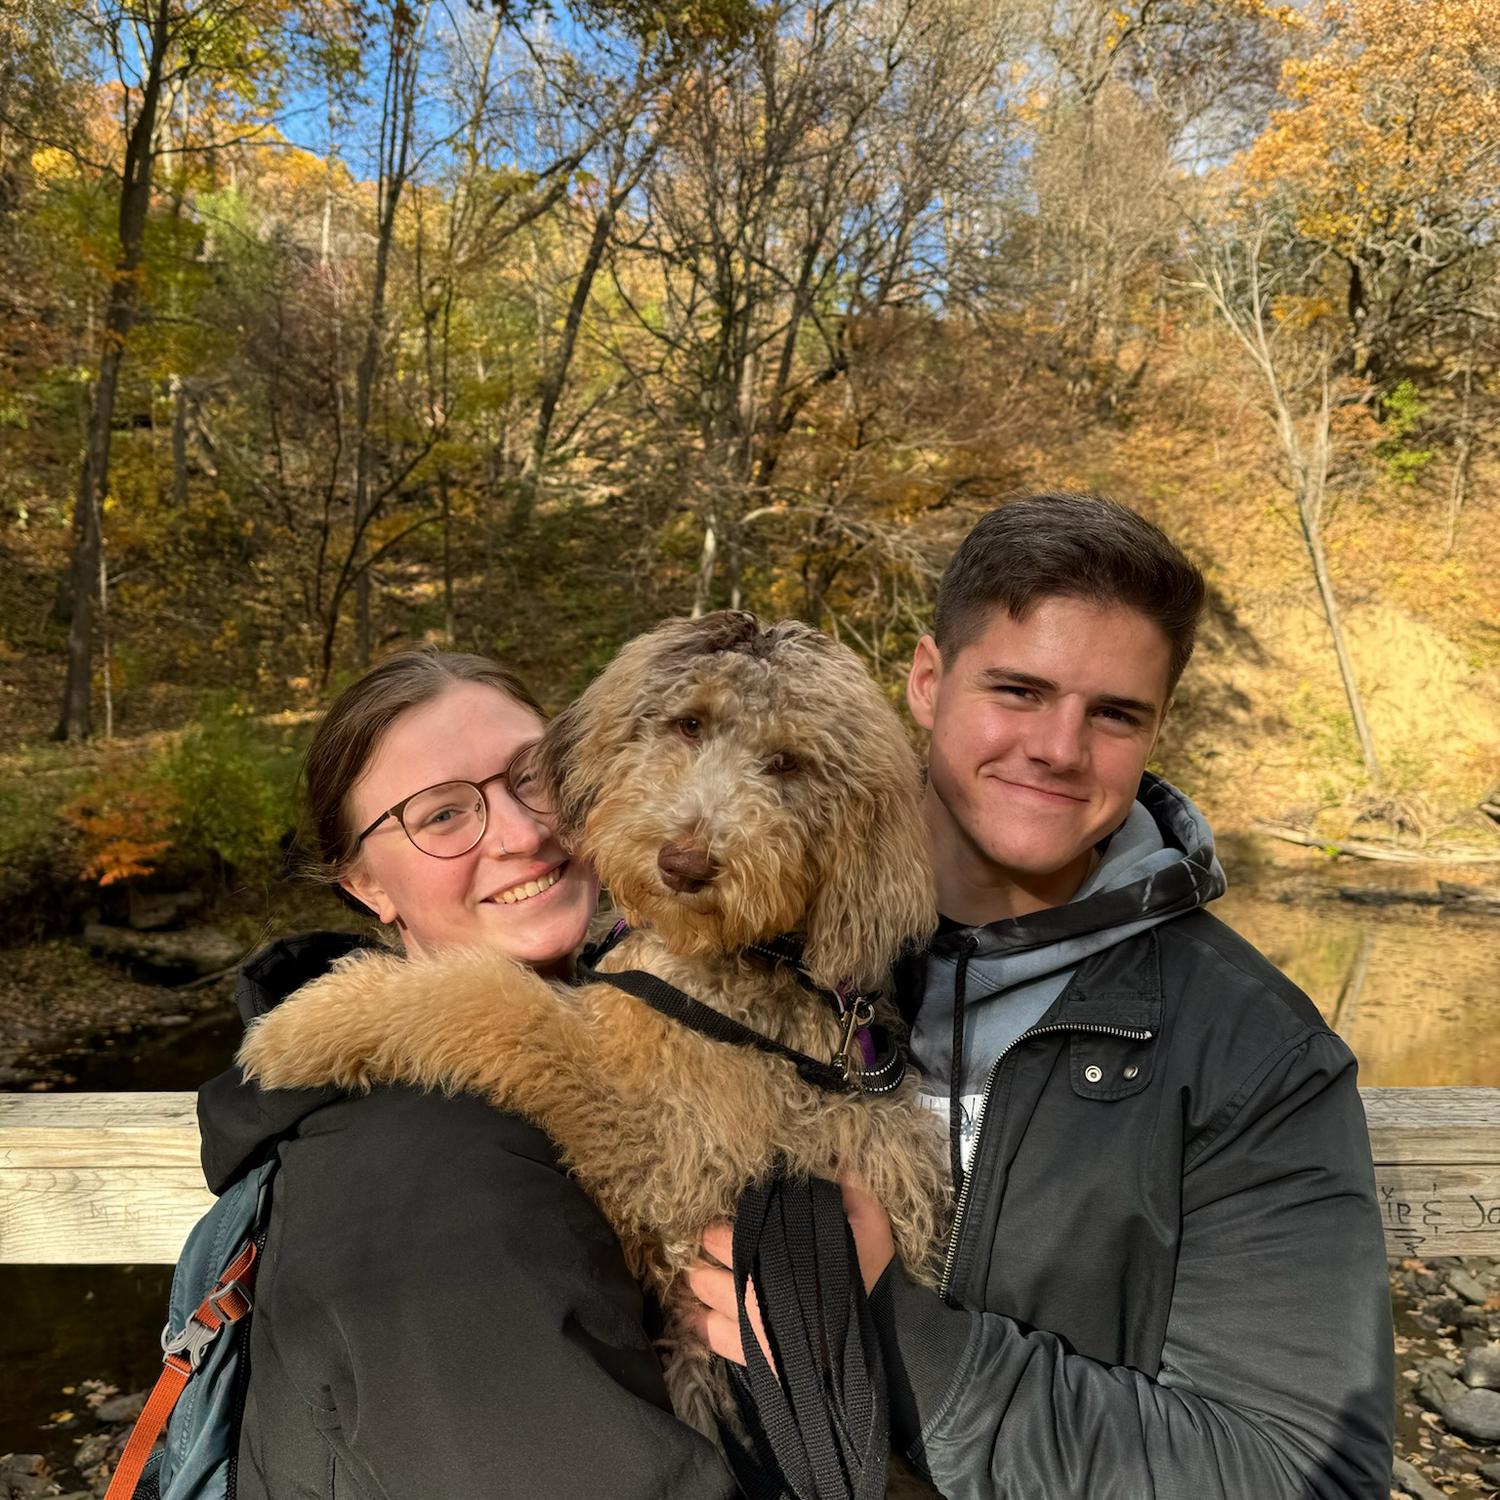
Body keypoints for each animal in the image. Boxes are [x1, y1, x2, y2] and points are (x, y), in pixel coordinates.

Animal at [241, 606, 954, 1452]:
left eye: (788, 763)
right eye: (689, 723)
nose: (685, 862)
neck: (758, 958)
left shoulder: (659, 1151)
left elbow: (496, 998)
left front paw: (306, 1022)